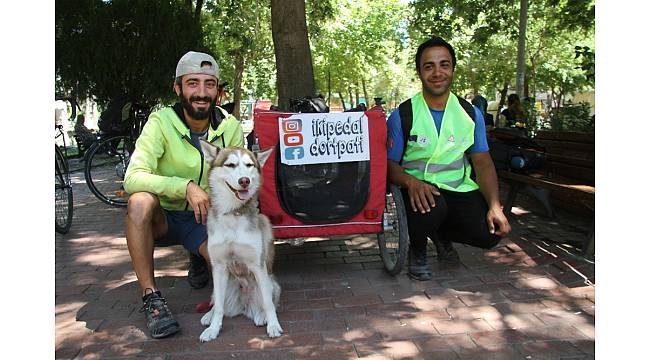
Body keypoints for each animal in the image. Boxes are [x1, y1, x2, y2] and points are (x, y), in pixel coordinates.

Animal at [195, 141, 280, 340]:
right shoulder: (218, 266)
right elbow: (219, 306)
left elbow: (268, 303)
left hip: (271, 283)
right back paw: (209, 316)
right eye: (230, 165)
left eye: (249, 165)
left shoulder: (258, 266)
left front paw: (273, 325)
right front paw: (213, 329)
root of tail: (243, 304)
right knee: (216, 302)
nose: (244, 181)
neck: (233, 213)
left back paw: (261, 316)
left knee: (265, 301)